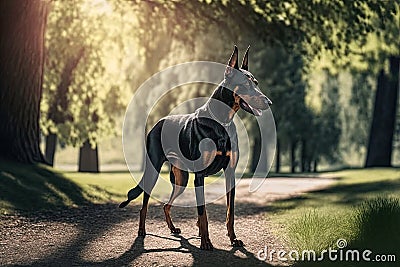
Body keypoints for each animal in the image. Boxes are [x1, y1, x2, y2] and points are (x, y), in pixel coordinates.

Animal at [119, 46, 272, 251]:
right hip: (153, 170)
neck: (222, 121)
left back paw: (173, 229)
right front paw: (206, 241)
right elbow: (202, 212)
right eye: (246, 84)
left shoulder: (230, 172)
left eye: (256, 83)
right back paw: (142, 231)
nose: (269, 102)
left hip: (181, 179)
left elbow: (230, 212)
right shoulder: (199, 176)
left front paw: (233, 239)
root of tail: (156, 125)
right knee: (145, 204)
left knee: (166, 205)